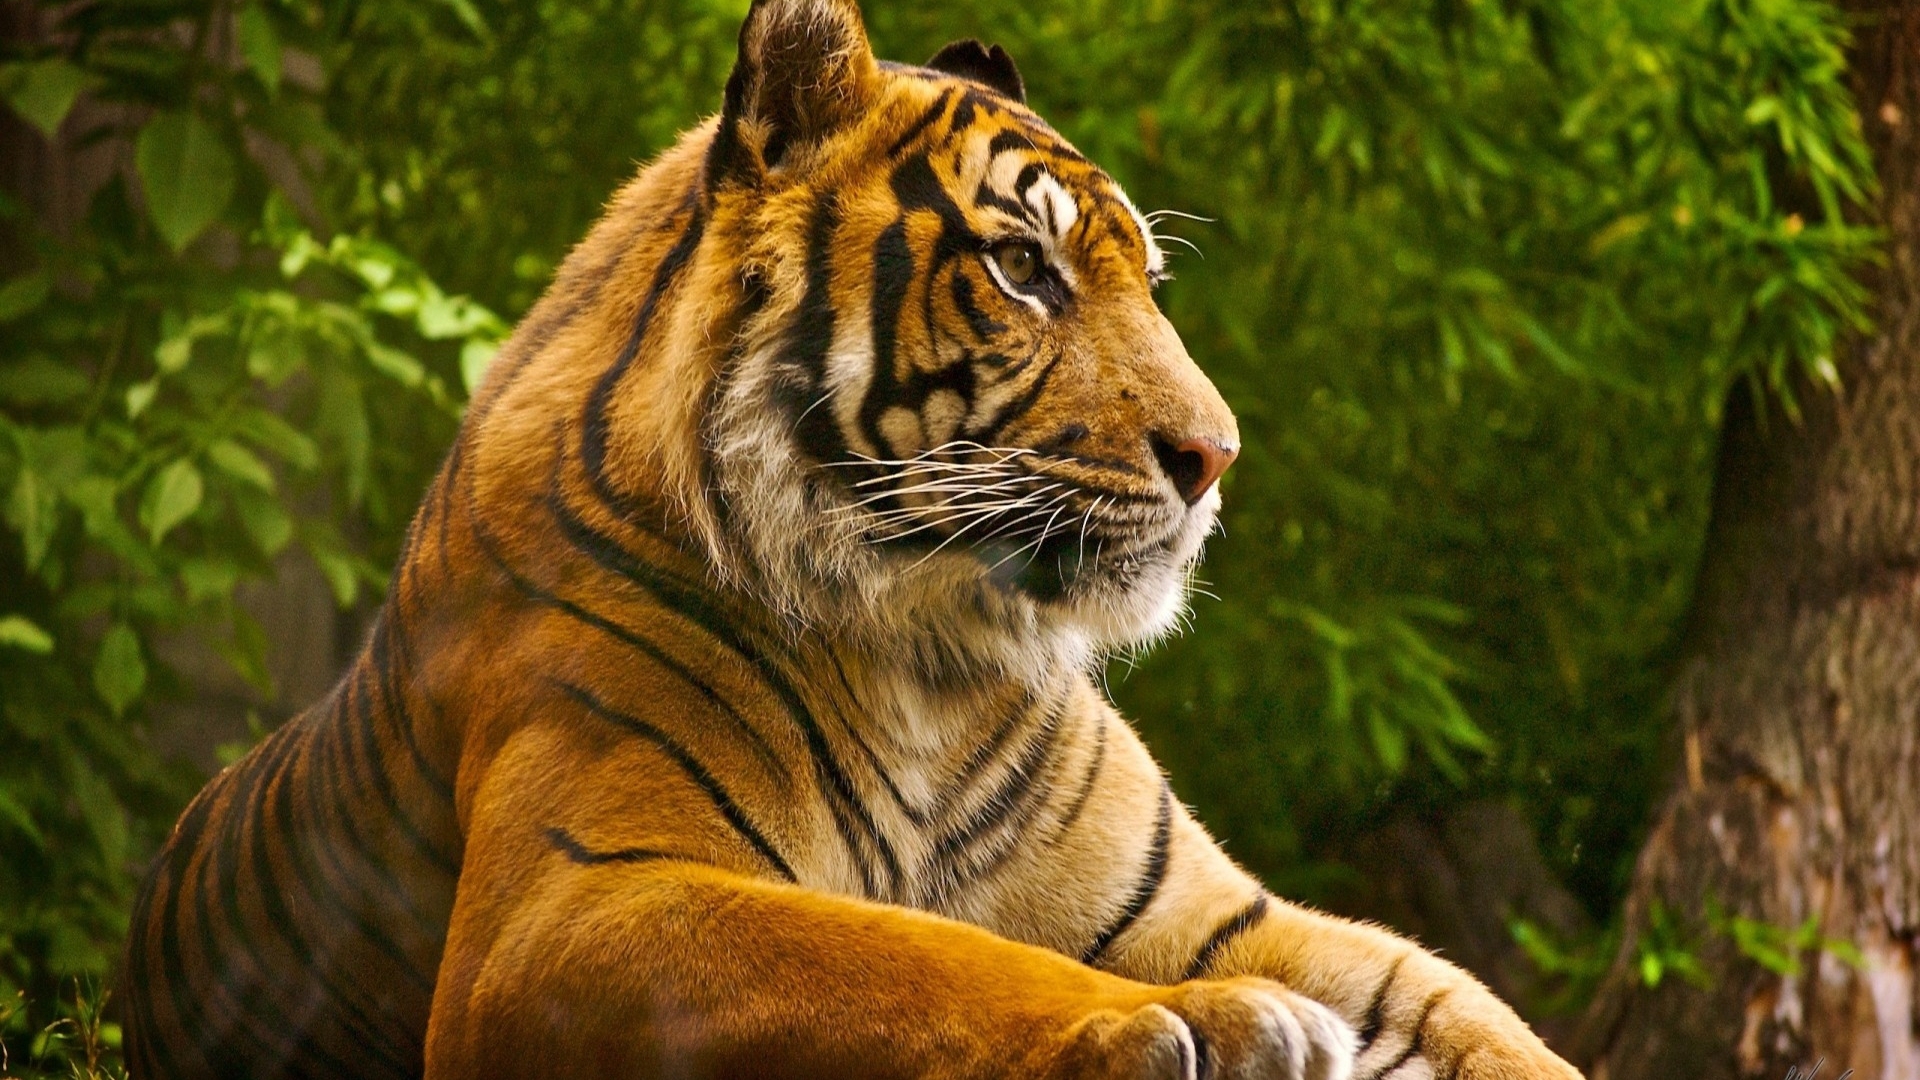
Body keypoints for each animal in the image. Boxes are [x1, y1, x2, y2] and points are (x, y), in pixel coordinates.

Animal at [120, 2, 1587, 1078]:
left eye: (1149, 283)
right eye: (1023, 268)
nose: (1215, 457)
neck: (935, 650)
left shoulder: (1215, 910)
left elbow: (1467, 1007)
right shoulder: (570, 906)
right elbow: (921, 957)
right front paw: (1198, 1024)